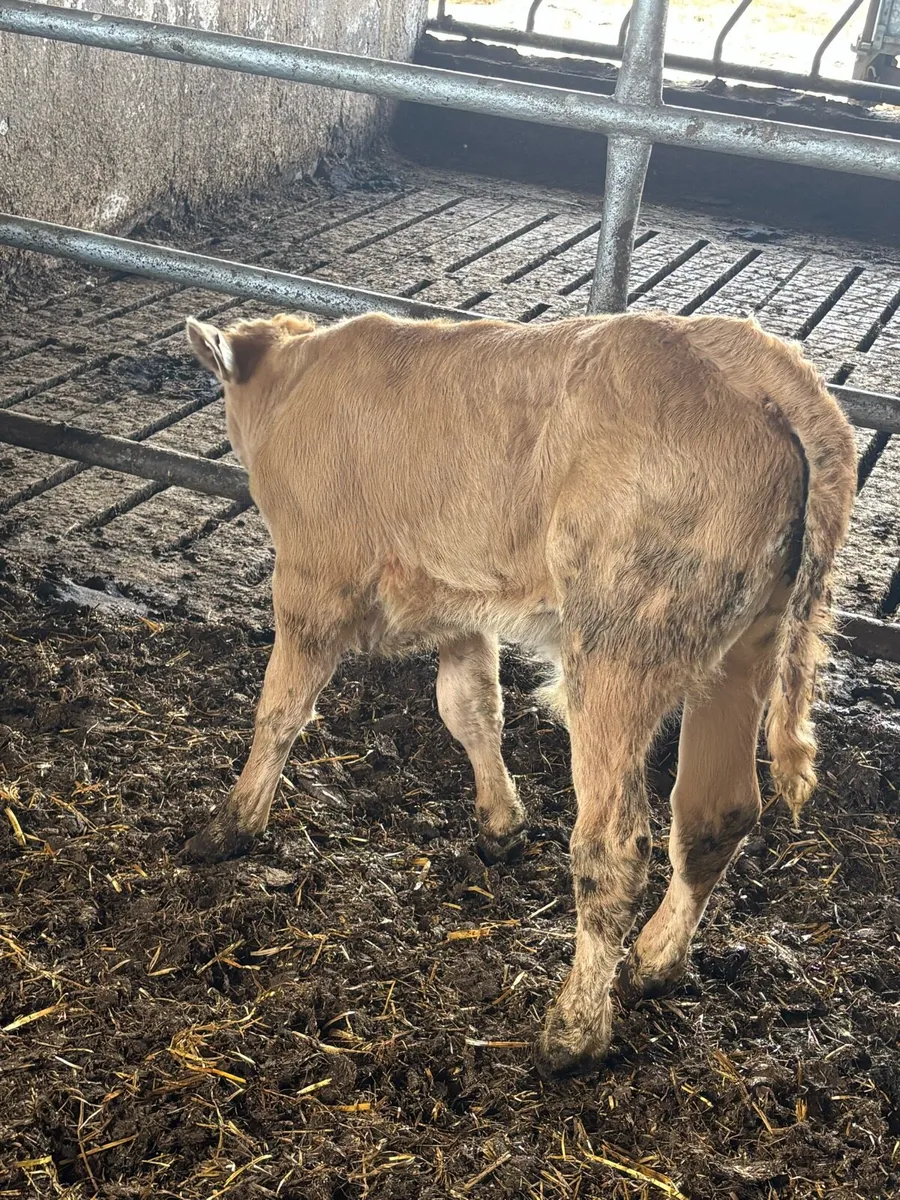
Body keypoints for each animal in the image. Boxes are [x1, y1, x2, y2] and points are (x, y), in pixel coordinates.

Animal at [184, 308, 856, 1077]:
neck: (295, 382)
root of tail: (747, 355)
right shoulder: (458, 602)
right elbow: (470, 706)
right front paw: (500, 823)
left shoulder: (312, 583)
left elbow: (281, 712)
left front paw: (230, 824)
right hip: (745, 649)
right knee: (718, 812)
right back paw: (655, 963)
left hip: (617, 648)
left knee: (614, 845)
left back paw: (573, 1032)